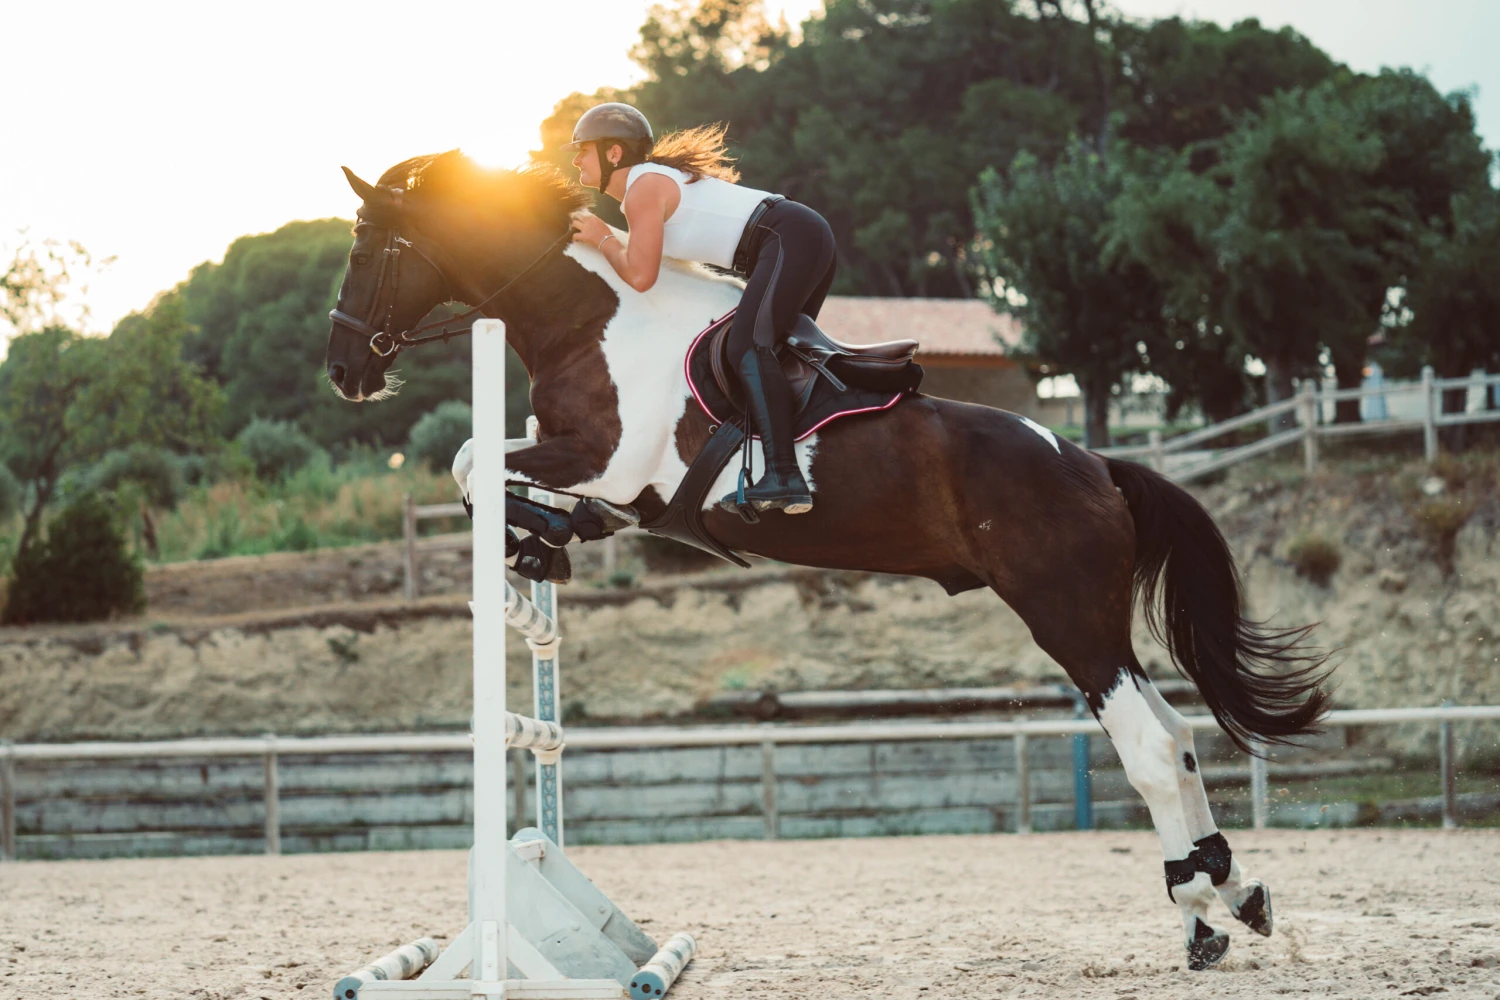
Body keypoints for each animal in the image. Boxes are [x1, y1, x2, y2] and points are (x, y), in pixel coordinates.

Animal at [324, 151, 1332, 970]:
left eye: (368, 248)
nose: (343, 371)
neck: (588, 316)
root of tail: (1096, 464)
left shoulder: (606, 461)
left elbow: (471, 460)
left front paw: (531, 537)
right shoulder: (603, 480)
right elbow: (492, 475)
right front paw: (542, 542)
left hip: (1067, 618)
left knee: (1153, 748)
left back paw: (1198, 911)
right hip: (1097, 625)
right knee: (1181, 736)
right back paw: (1229, 895)